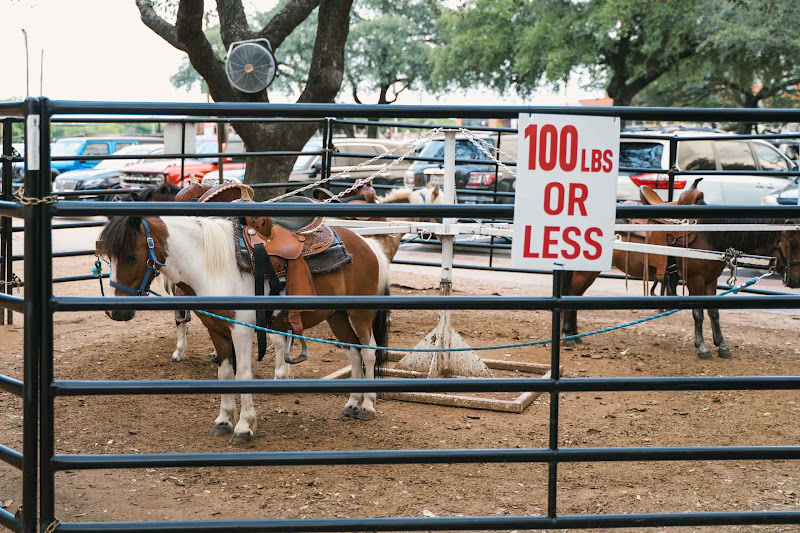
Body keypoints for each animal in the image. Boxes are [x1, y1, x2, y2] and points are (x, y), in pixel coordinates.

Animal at [96, 213, 391, 444]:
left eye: (132, 256)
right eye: (109, 257)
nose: (115, 312)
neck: (213, 266)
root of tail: (368, 244)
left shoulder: (242, 331)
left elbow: (243, 375)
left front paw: (244, 427)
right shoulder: (217, 330)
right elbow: (225, 375)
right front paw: (223, 420)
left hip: (360, 313)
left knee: (368, 352)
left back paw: (367, 406)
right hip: (337, 315)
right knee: (353, 350)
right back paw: (352, 404)